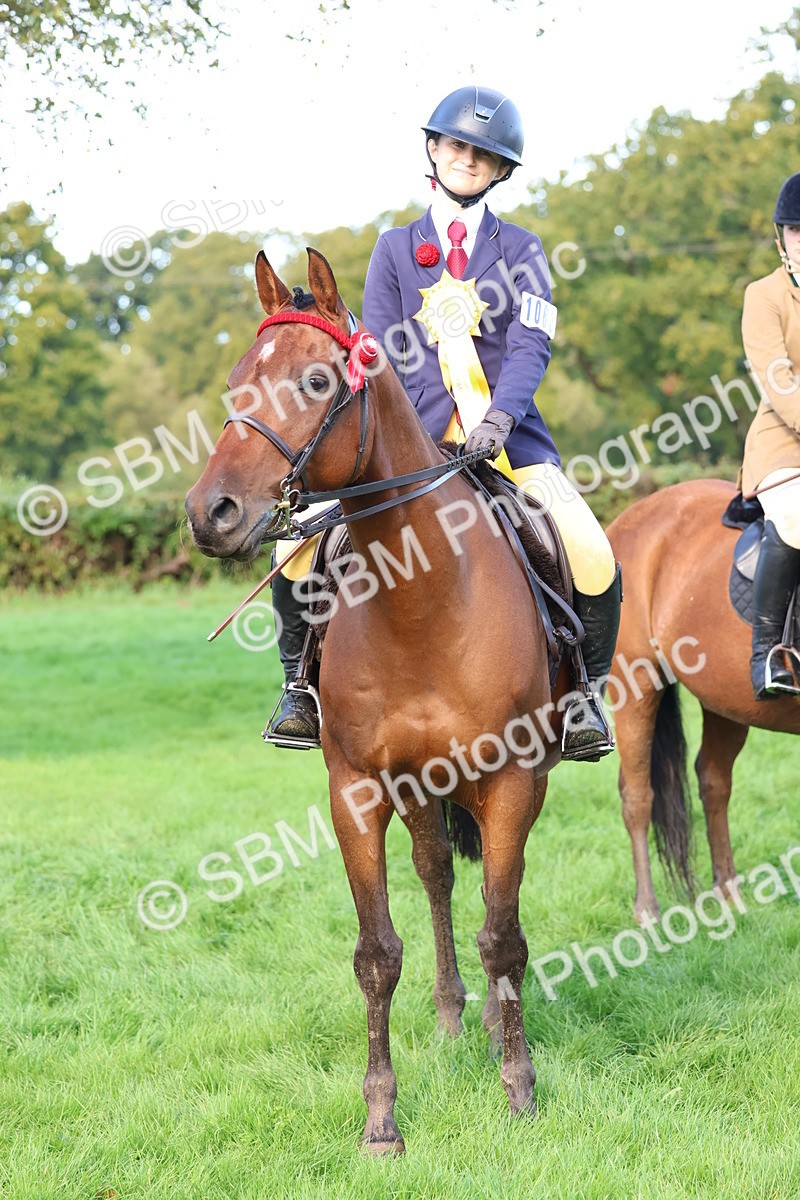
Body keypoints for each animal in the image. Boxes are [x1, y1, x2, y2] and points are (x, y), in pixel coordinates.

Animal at [185, 248, 575, 1155]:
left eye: (317, 381)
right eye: (235, 384)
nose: (210, 513)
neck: (423, 598)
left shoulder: (513, 781)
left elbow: (504, 936)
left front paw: (519, 1091)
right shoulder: (356, 789)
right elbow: (376, 954)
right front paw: (381, 1122)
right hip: (417, 786)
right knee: (435, 872)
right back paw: (452, 1015)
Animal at [605, 477, 800, 924]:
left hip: (726, 700)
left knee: (713, 781)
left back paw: (728, 894)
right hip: (635, 683)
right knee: (638, 796)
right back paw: (647, 910)